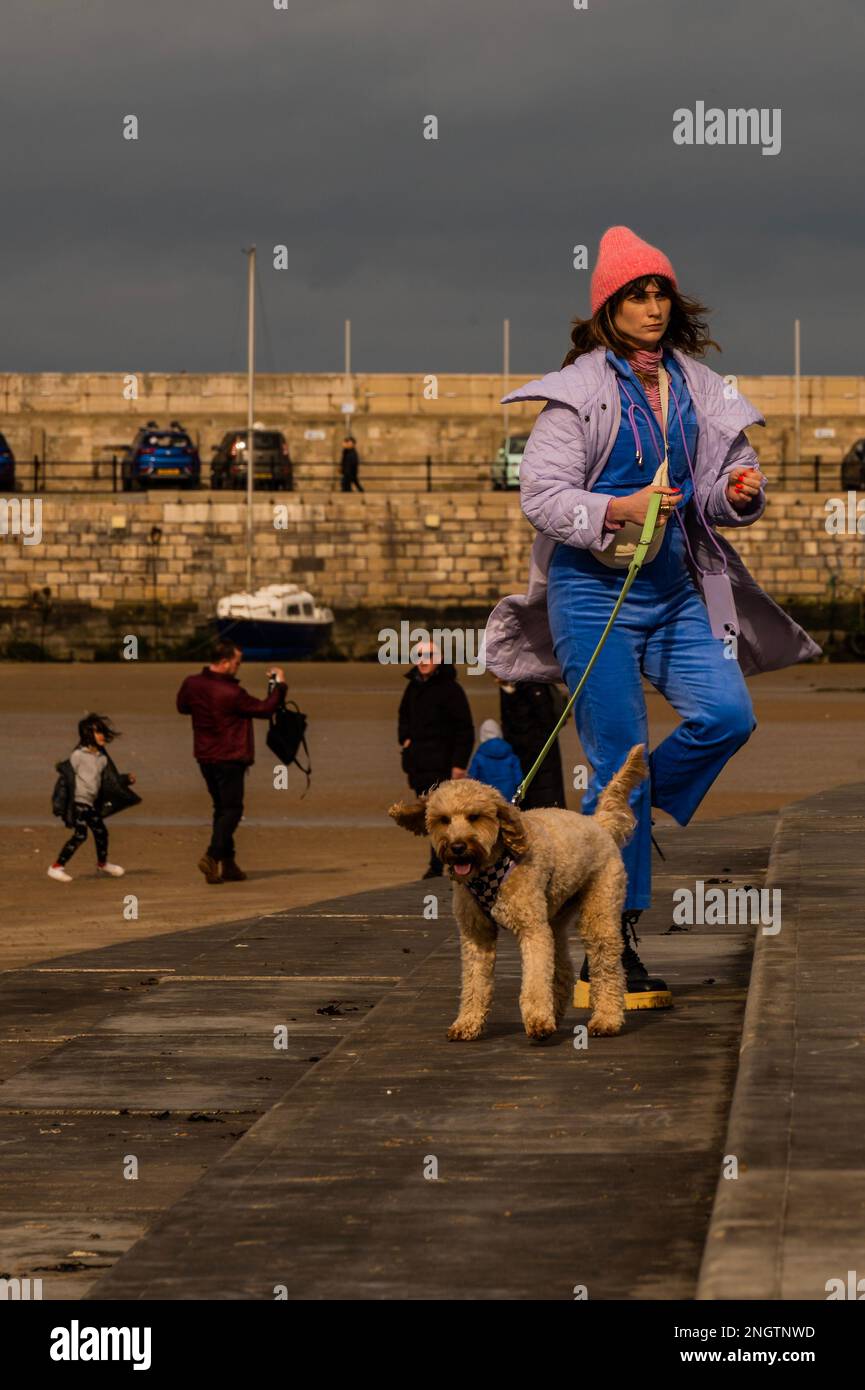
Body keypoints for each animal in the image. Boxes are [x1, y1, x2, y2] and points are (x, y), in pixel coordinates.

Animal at [389, 745, 648, 1039]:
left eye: (475, 816)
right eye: (443, 820)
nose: (457, 847)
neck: (490, 867)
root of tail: (599, 823)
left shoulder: (532, 929)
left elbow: (534, 981)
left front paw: (537, 1020)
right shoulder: (476, 935)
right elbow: (474, 983)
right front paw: (467, 1022)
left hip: (599, 910)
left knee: (607, 966)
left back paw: (606, 1019)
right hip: (555, 919)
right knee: (561, 969)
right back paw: (556, 1011)